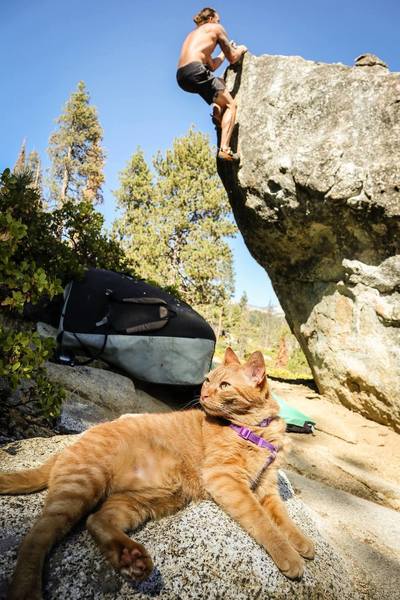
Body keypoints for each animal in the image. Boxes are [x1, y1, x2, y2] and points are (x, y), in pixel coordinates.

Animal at [0, 350, 312, 596]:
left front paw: (302, 543)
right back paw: (26, 590)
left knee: (96, 520)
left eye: (224, 385)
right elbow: (262, 521)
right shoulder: (226, 479)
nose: (202, 394)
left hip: (144, 500)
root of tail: (76, 440)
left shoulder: (267, 487)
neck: (255, 430)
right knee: (36, 537)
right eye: (207, 381)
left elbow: (282, 518)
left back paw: (131, 559)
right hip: (82, 486)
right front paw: (288, 554)